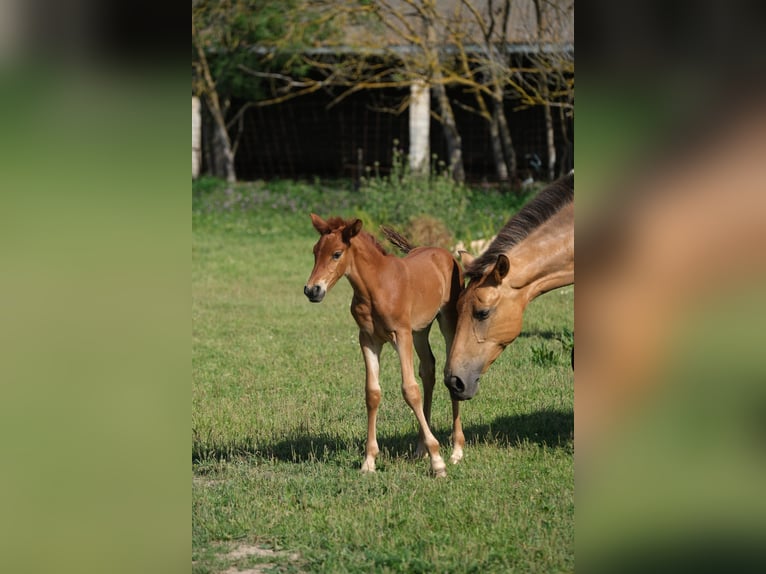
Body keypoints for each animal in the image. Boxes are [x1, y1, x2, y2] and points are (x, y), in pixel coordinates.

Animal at [304, 214, 465, 477]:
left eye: (337, 254)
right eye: (315, 251)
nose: (312, 290)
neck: (376, 287)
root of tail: (444, 253)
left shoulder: (401, 335)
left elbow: (410, 390)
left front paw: (437, 461)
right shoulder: (368, 339)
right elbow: (373, 393)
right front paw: (369, 460)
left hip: (447, 322)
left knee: (447, 371)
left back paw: (456, 450)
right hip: (419, 331)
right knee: (428, 370)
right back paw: (420, 448)